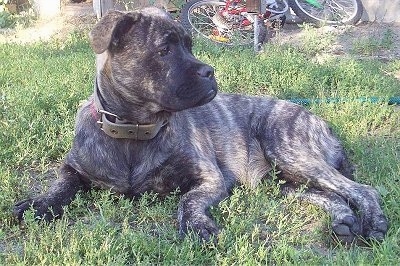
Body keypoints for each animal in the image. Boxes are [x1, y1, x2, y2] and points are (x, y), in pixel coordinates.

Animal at [14, 6, 386, 243]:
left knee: (361, 189)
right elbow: (60, 185)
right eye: (165, 50)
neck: (134, 132)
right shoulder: (74, 167)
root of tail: (320, 120)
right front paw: (39, 204)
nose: (210, 72)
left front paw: (196, 225)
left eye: (190, 46)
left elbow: (188, 200)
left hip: (288, 149)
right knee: (331, 195)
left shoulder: (209, 177)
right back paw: (343, 220)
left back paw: (374, 223)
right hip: (282, 181)